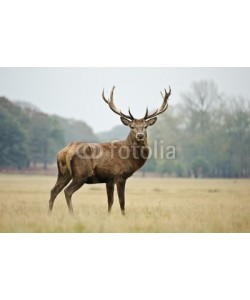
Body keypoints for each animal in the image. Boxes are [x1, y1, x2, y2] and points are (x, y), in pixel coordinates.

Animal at [47, 85, 171, 214]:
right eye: (132, 126)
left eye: (145, 126)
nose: (140, 135)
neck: (130, 157)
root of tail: (65, 151)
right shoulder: (120, 176)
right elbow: (122, 201)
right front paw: (123, 216)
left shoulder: (109, 179)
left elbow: (110, 202)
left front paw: (109, 215)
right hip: (81, 174)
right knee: (67, 191)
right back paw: (72, 214)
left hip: (63, 173)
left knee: (53, 190)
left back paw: (49, 214)